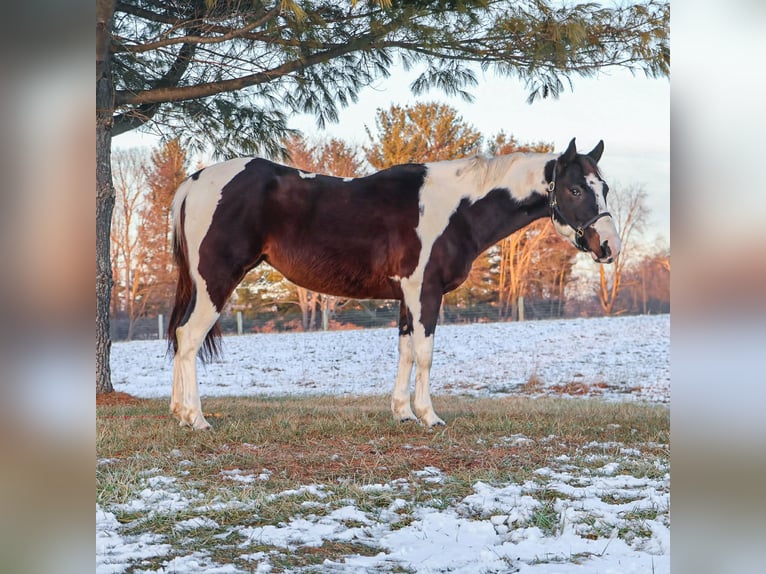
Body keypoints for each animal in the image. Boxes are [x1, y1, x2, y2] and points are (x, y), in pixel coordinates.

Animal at [167, 137, 620, 429]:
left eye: (604, 187)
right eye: (575, 189)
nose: (609, 246)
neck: (456, 207)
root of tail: (195, 181)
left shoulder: (407, 296)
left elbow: (404, 352)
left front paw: (403, 413)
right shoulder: (425, 292)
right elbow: (425, 354)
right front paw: (430, 416)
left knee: (179, 335)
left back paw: (177, 411)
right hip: (216, 282)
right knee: (189, 337)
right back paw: (196, 418)